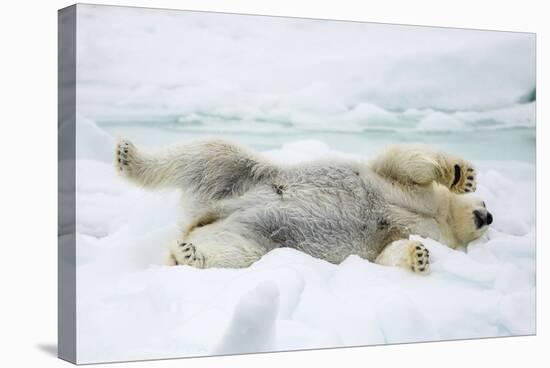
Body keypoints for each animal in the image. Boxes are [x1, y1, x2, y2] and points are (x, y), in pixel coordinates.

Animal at [114, 139, 494, 274]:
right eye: (486, 201)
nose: (488, 215)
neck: (440, 216)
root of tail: (204, 217)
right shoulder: (407, 189)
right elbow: (404, 161)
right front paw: (463, 175)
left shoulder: (416, 231)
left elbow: (388, 252)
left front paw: (419, 256)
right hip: (242, 177)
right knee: (209, 154)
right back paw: (127, 155)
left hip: (253, 237)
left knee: (235, 252)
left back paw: (188, 254)